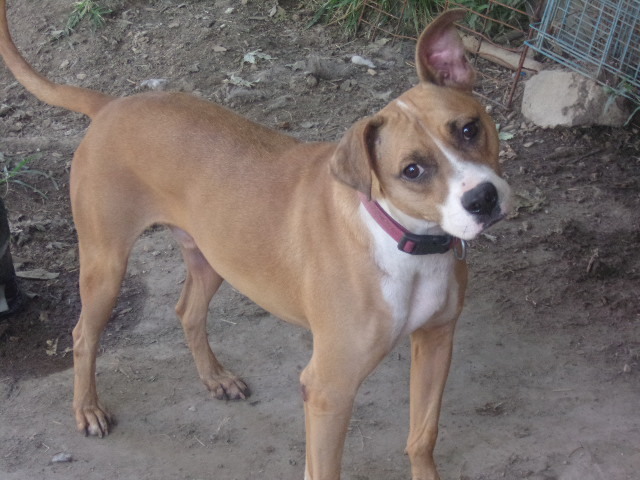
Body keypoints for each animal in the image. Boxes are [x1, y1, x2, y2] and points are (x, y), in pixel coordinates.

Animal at [0, 1, 510, 478]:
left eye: (469, 128)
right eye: (412, 170)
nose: (483, 198)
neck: (406, 241)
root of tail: (110, 105)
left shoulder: (437, 342)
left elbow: (423, 436)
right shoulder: (328, 388)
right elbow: (324, 467)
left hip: (213, 258)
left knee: (187, 311)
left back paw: (215, 378)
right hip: (105, 266)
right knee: (83, 335)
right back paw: (88, 409)